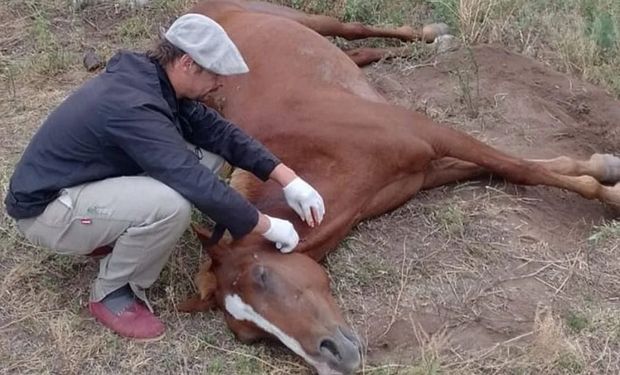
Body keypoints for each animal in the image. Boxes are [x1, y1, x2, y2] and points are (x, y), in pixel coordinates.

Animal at [178, 1, 620, 374]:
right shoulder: (425, 170)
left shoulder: (431, 134)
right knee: (363, 53)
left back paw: (436, 34)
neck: (323, 151)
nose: (334, 358)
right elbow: (519, 168)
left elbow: (519, 167)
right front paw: (602, 169)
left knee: (352, 29)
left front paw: (609, 187)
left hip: (300, 17)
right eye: (249, 335)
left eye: (263, 276)